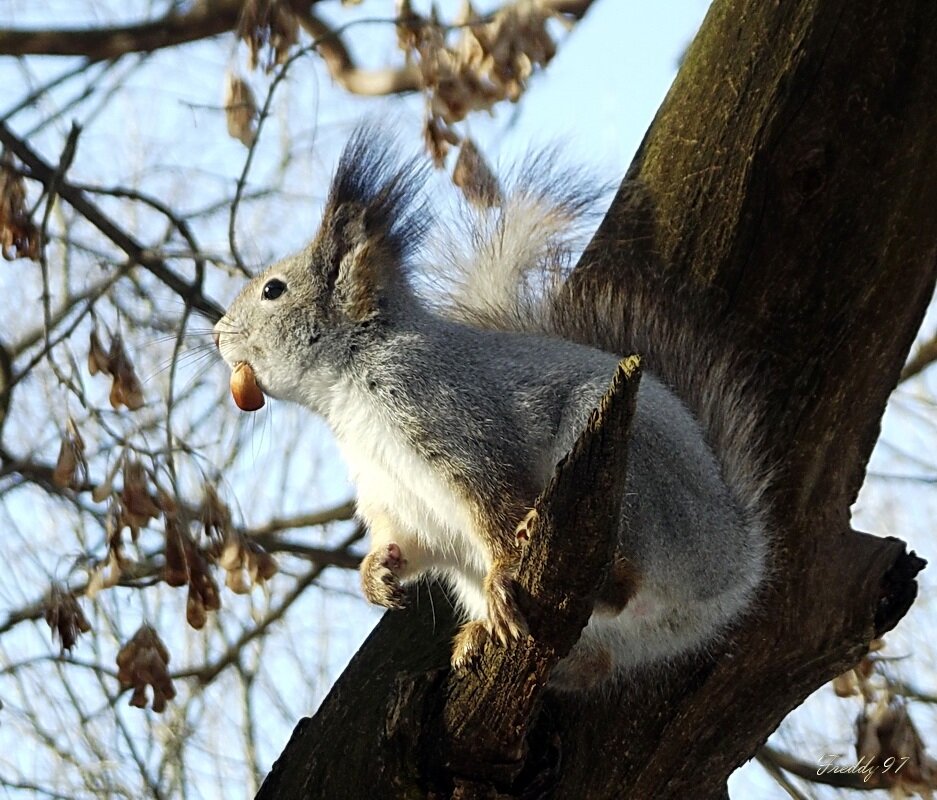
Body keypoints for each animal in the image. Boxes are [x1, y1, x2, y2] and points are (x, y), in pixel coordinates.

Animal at [212, 128, 768, 692]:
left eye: (273, 289)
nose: (215, 335)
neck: (346, 394)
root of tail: (735, 568)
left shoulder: (448, 415)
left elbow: (493, 497)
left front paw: (504, 571)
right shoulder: (395, 496)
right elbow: (407, 540)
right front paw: (377, 573)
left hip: (634, 474)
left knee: (622, 577)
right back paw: (480, 636)